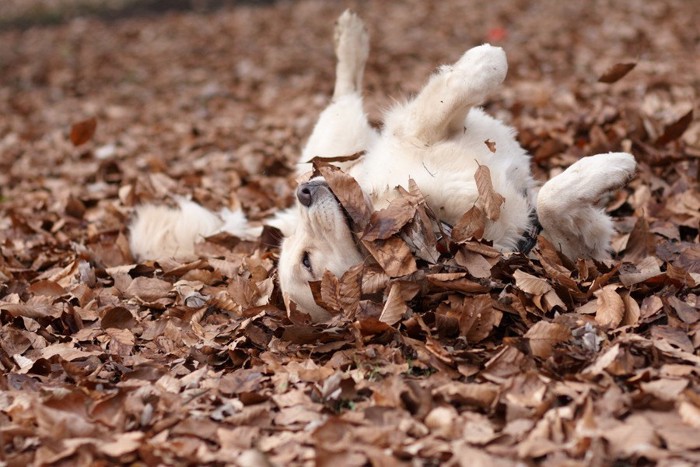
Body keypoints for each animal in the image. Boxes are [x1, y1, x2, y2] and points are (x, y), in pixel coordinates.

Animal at [129, 11, 636, 322]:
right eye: (306, 262)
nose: (305, 193)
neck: (442, 222)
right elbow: (547, 198)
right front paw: (613, 167)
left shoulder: (414, 135)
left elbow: (449, 100)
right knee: (343, 95)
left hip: (337, 146)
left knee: (344, 90)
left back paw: (351, 37)